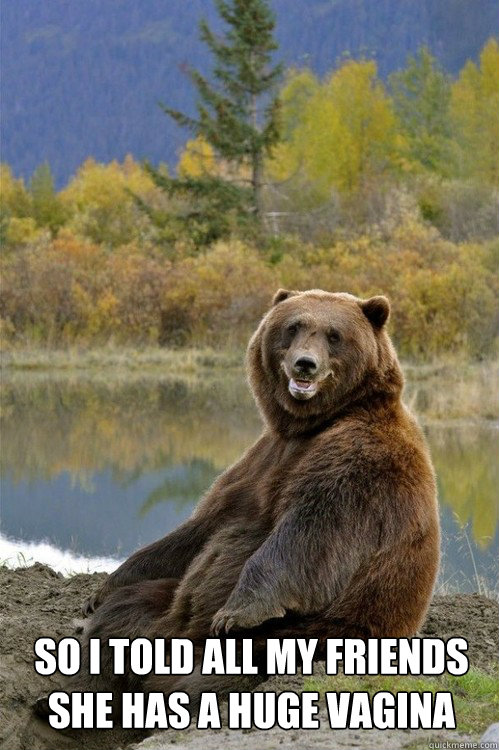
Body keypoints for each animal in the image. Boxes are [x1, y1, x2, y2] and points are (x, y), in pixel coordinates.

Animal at [37, 289, 440, 712]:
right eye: (293, 326)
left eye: (334, 335)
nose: (305, 364)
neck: (310, 426)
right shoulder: (260, 462)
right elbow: (202, 528)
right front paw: (98, 592)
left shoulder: (359, 462)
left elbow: (312, 531)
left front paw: (237, 611)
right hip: (163, 607)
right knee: (121, 619)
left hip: (316, 630)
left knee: (230, 670)